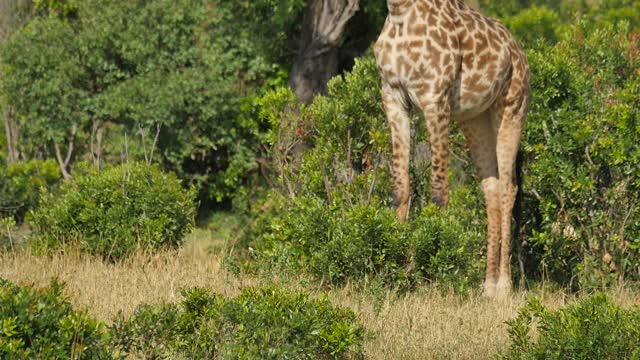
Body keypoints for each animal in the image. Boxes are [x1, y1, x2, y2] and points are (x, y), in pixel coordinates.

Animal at [376, 0, 528, 298]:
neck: (399, 11)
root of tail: (520, 53)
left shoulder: (435, 98)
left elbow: (438, 193)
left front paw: (431, 273)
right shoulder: (393, 96)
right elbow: (400, 188)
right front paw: (396, 267)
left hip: (512, 109)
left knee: (509, 186)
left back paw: (504, 286)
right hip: (475, 119)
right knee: (491, 187)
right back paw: (488, 285)